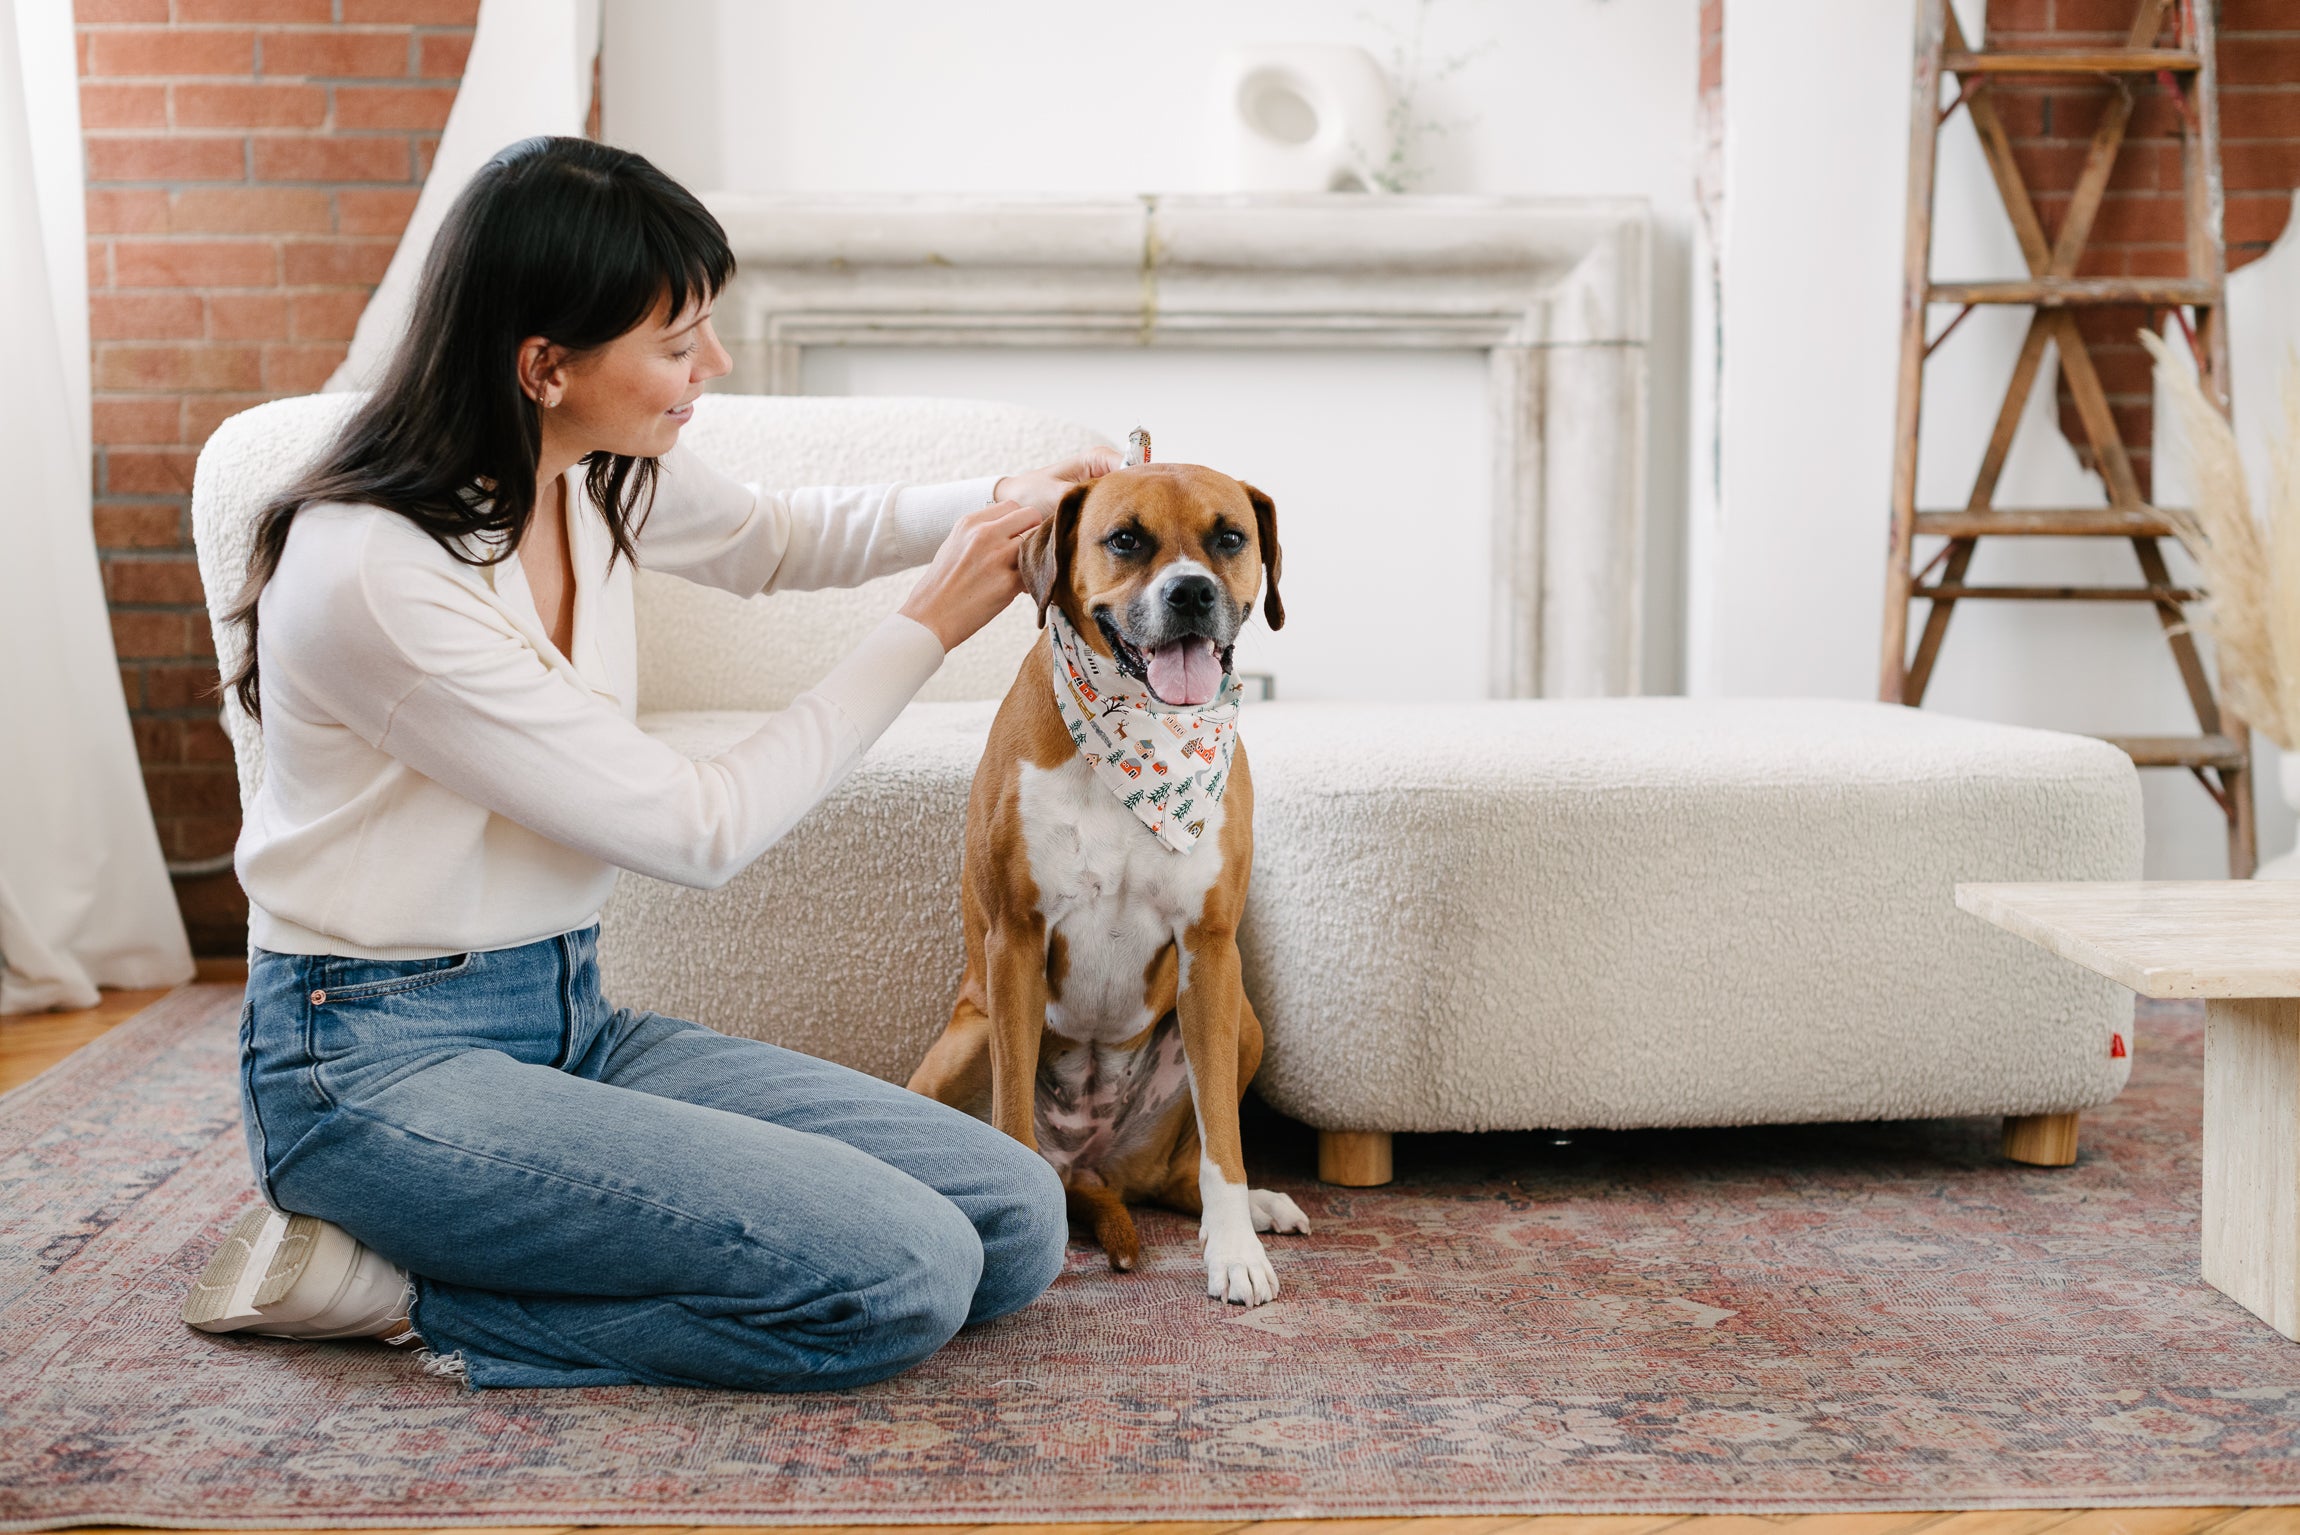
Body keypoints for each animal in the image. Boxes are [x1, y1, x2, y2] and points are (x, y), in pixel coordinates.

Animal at [910, 460, 1315, 1307]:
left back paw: (1255, 1207)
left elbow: (1224, 1141)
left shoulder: (1211, 951)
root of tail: (1092, 1164)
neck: (1141, 737)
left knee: (1177, 1174)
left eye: (1232, 537)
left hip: (1243, 1021)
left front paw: (1236, 1252)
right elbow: (1010, 1116)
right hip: (965, 1037)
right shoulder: (1015, 941)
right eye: (1124, 538)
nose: (1190, 592)